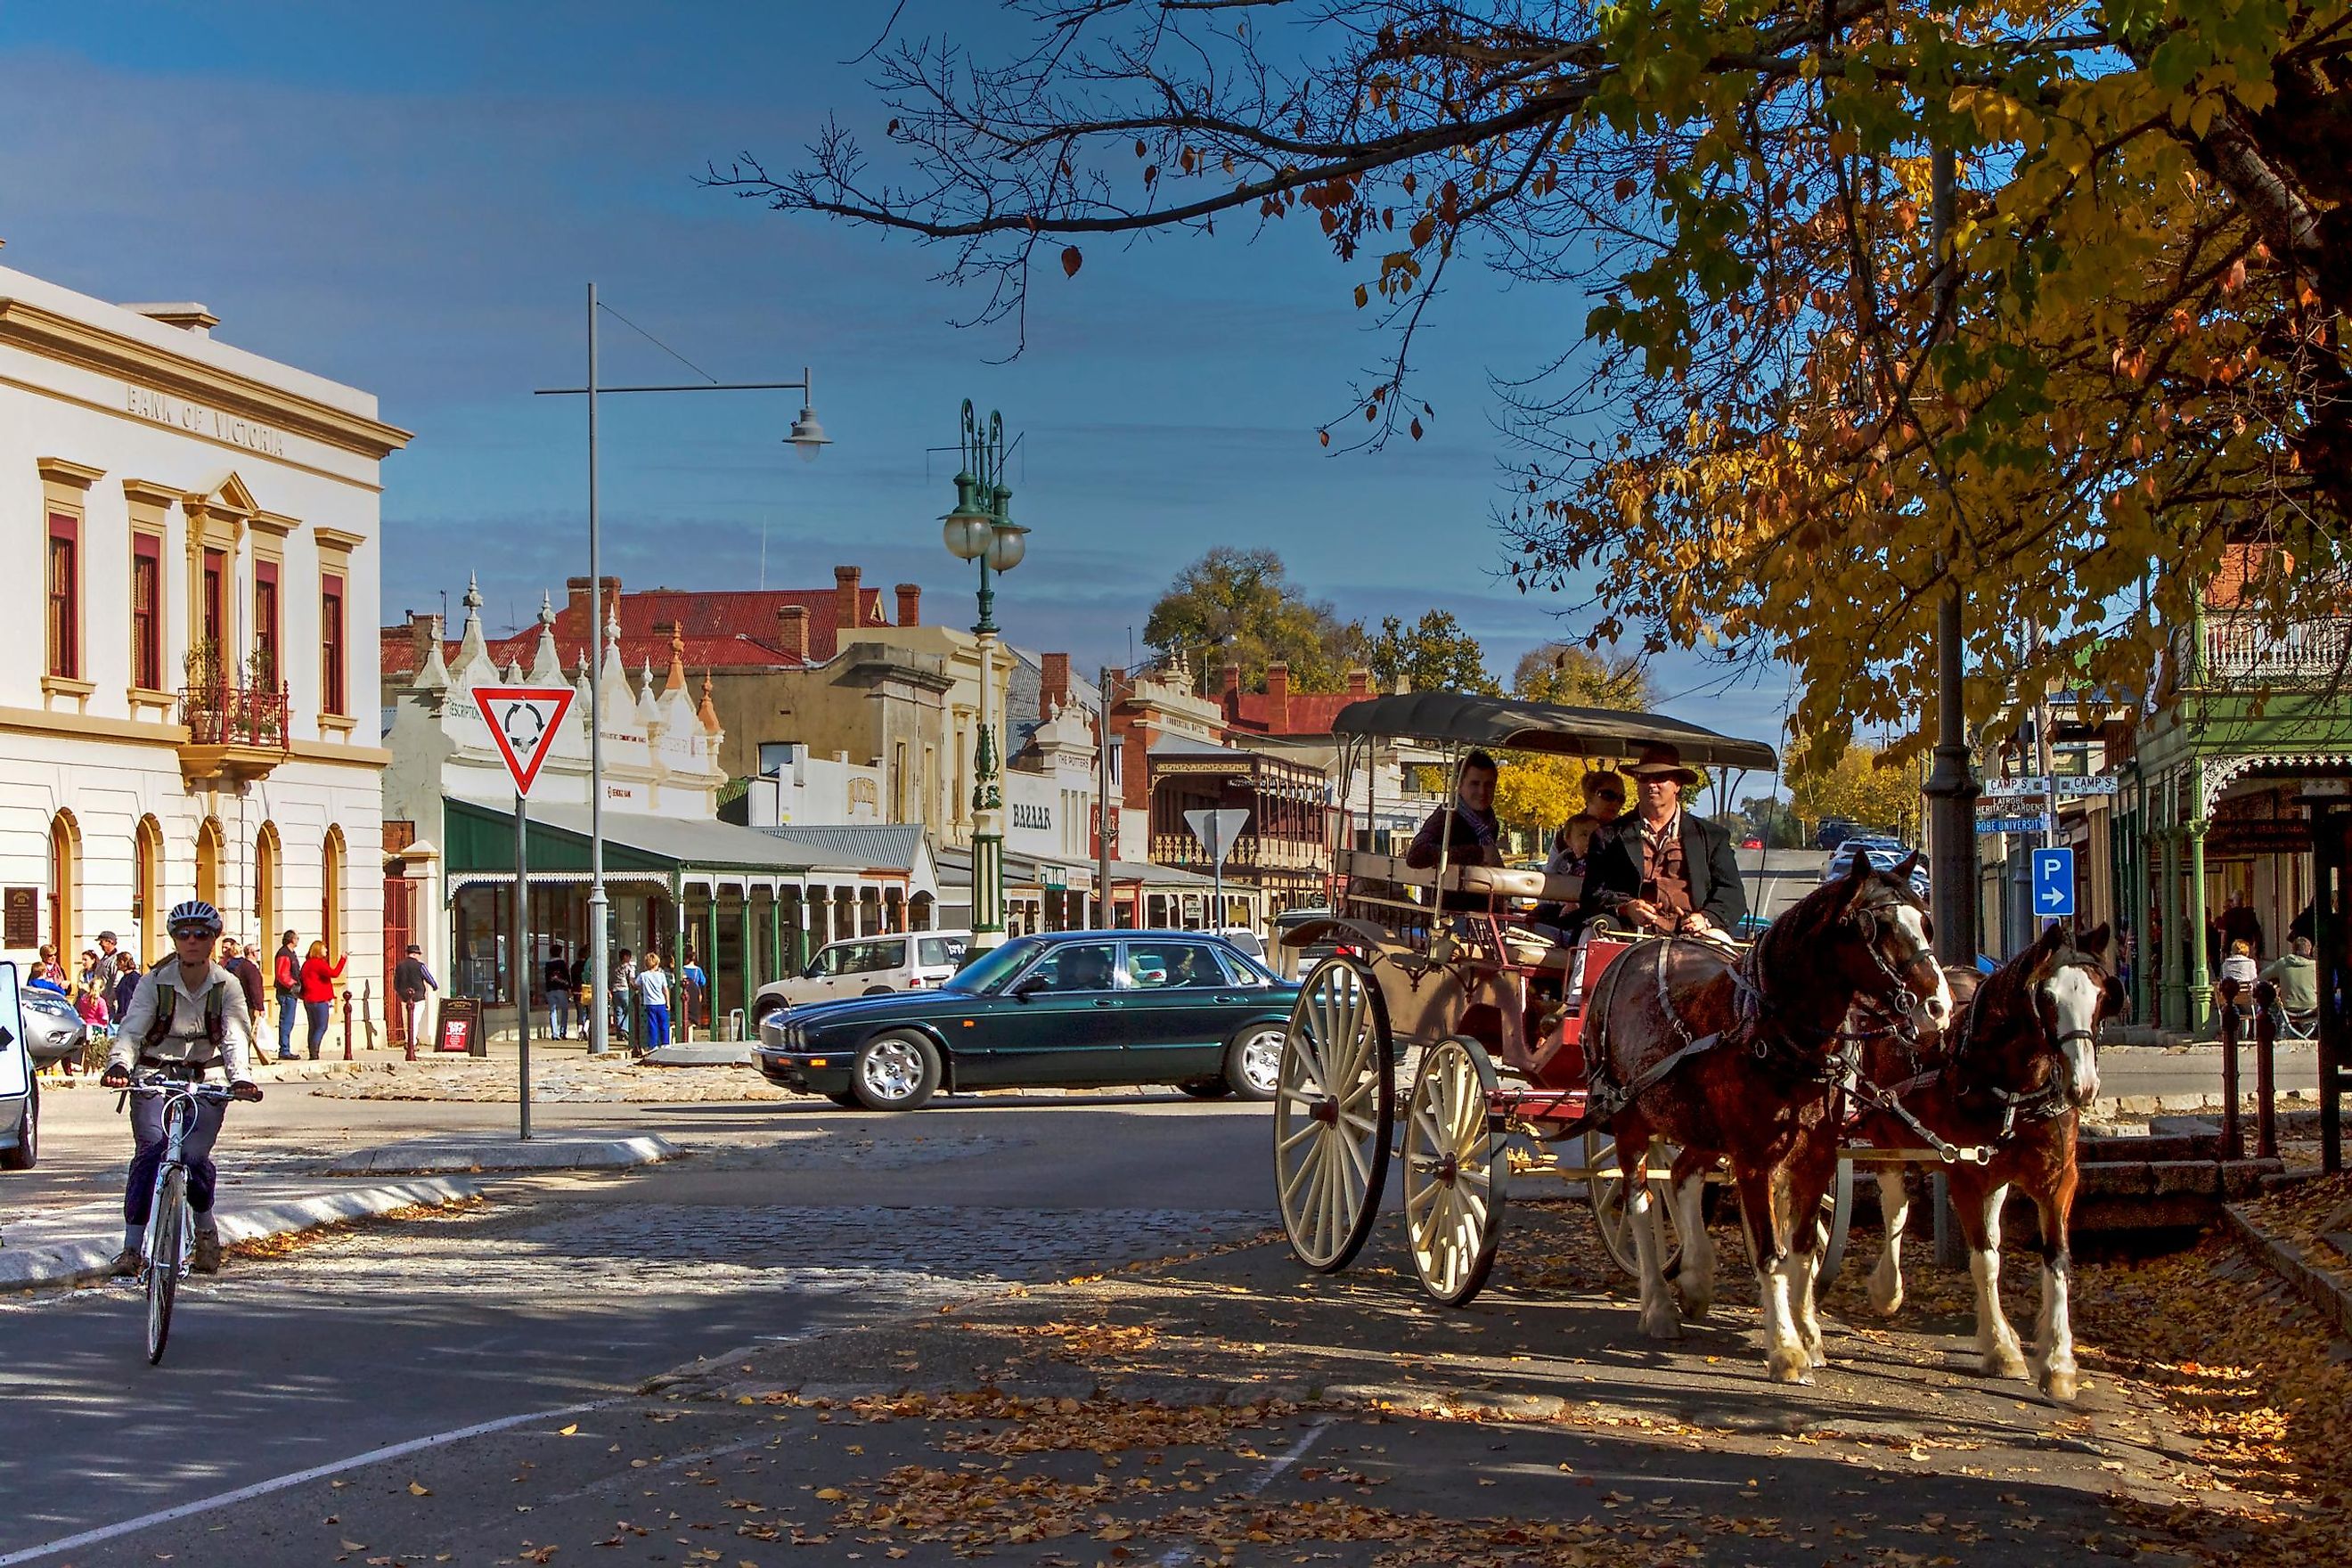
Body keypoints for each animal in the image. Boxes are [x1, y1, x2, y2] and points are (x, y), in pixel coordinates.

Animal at [1589, 860, 1956, 1382]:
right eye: (1878, 928)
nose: (1939, 1009)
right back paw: (1658, 1306)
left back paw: (1696, 1279)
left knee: (1681, 1175)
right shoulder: (1753, 1160)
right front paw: (1785, 1348)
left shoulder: (1816, 1156)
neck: (1775, 1033)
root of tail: (1640, 948)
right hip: (1629, 1123)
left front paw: (1809, 1334)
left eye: (1926, 923)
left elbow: (1801, 1249)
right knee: (1640, 1204)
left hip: (1700, 1128)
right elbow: (1769, 1253)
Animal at [1862, 911, 2126, 1401]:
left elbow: (2056, 1259)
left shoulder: (2059, 1180)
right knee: (1895, 1207)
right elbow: (1984, 1259)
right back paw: (1888, 1288)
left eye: (2101, 994)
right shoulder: (1966, 1174)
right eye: (2047, 997)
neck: (2014, 1088)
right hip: (1884, 1130)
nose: (2083, 1086)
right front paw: (2003, 1350)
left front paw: (2058, 1363)